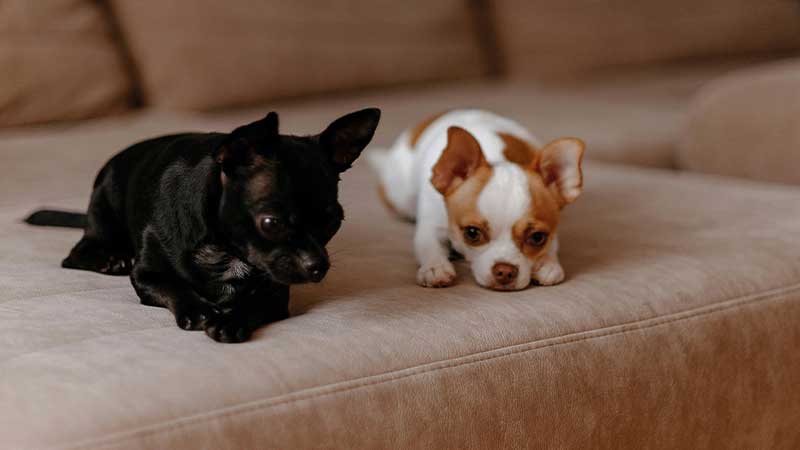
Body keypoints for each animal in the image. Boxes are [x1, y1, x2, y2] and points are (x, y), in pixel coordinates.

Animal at [26, 108, 382, 342]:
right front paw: (199, 311)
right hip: (104, 209)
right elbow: (175, 287)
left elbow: (253, 302)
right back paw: (111, 259)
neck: (226, 248)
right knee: (76, 254)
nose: (318, 266)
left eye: (333, 221)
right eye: (271, 223)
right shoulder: (146, 276)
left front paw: (231, 321)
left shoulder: (276, 291)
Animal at [372, 110, 584, 290]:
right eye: (472, 233)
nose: (505, 271)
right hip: (400, 196)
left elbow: (553, 246)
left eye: (538, 237)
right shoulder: (431, 225)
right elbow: (429, 245)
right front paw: (435, 267)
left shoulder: (552, 232)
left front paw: (548, 264)